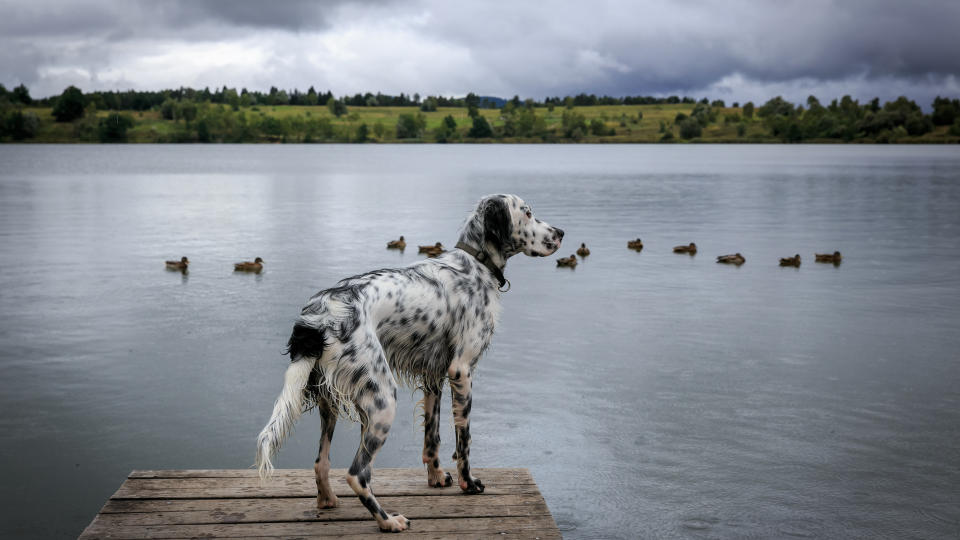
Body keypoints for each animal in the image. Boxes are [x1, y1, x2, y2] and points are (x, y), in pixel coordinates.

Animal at [258, 193, 568, 532]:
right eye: (527, 213)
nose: (561, 233)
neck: (475, 265)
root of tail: (320, 316)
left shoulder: (434, 376)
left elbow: (432, 437)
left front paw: (436, 477)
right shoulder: (461, 371)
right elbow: (464, 438)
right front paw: (468, 483)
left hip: (332, 402)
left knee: (321, 463)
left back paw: (327, 501)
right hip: (382, 401)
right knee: (356, 474)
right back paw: (388, 521)